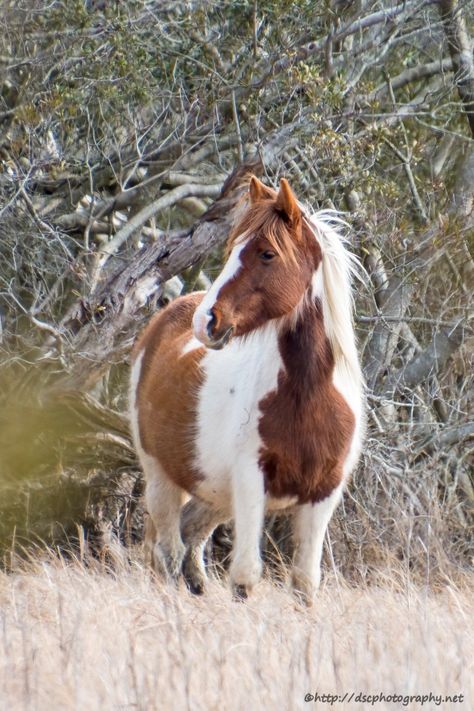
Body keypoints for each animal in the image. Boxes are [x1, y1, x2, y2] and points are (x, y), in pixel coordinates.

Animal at [128, 175, 364, 604]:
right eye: (231, 248)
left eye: (267, 254)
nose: (206, 322)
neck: (308, 400)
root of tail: (164, 319)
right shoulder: (252, 481)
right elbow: (245, 577)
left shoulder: (324, 493)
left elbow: (305, 582)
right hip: (160, 477)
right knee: (168, 552)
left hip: (214, 493)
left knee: (189, 538)